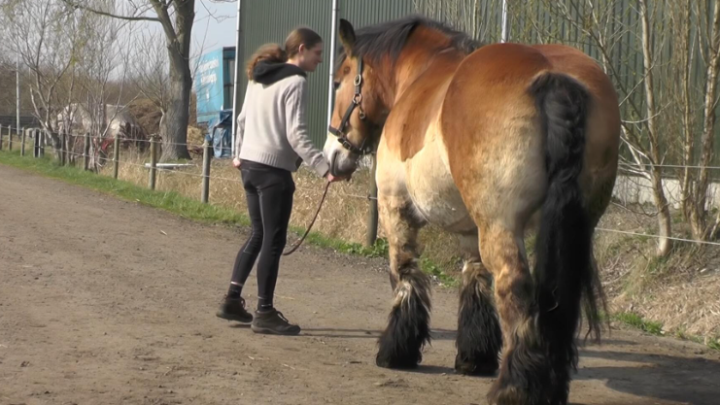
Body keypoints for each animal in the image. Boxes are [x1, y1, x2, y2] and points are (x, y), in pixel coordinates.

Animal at [324, 15, 620, 404]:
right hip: (574, 226)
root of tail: (553, 77)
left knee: (514, 288)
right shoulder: (470, 227)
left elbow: (404, 271)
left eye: (340, 80)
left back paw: (516, 387)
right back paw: (549, 384)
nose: (332, 154)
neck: (420, 74)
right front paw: (475, 356)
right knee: (557, 298)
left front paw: (396, 350)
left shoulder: (394, 205)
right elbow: (475, 280)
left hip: (501, 225)